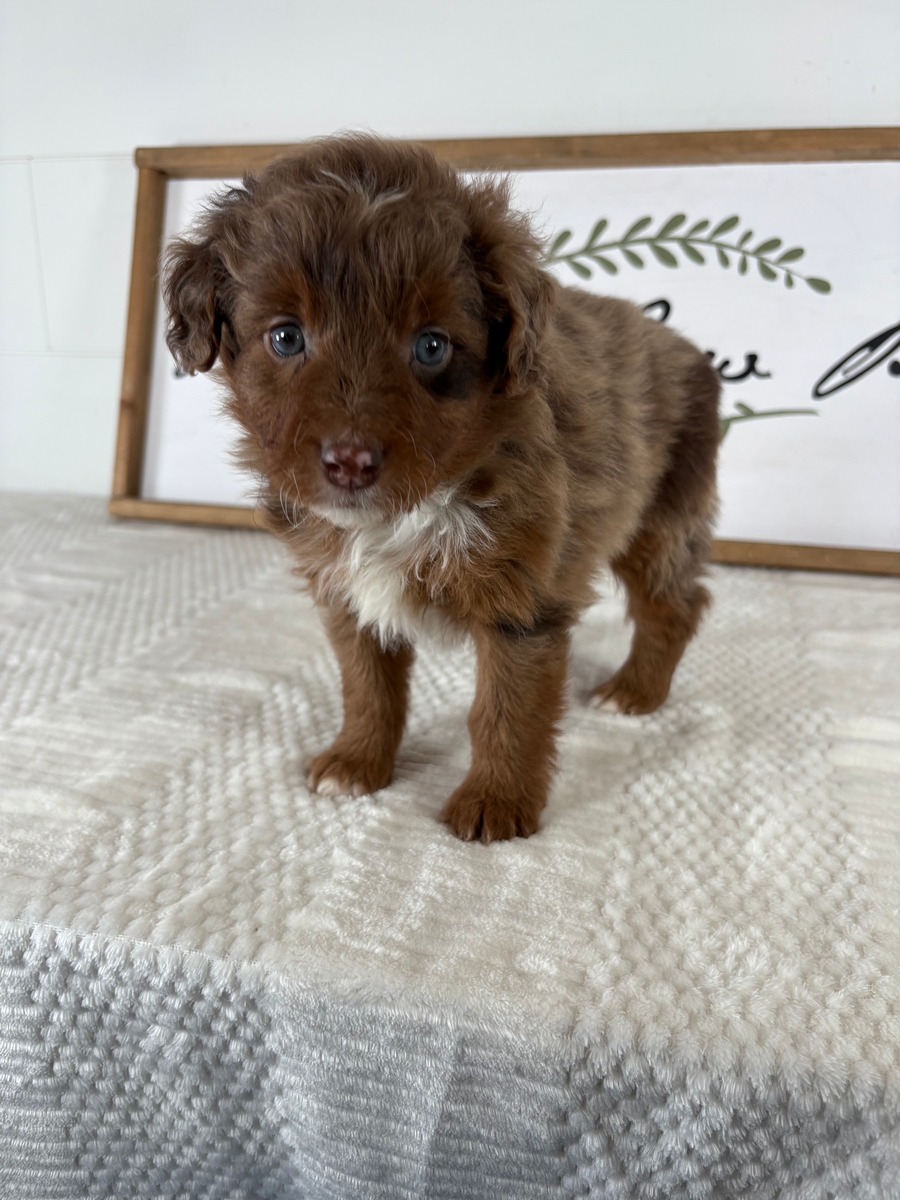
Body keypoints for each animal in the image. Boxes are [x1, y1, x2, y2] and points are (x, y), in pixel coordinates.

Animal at [163, 134, 720, 843]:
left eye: (431, 347)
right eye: (286, 336)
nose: (350, 463)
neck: (414, 506)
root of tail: (688, 349)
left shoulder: (524, 597)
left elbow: (507, 707)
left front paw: (496, 802)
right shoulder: (347, 591)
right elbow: (368, 685)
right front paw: (358, 762)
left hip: (663, 512)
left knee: (673, 604)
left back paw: (636, 692)